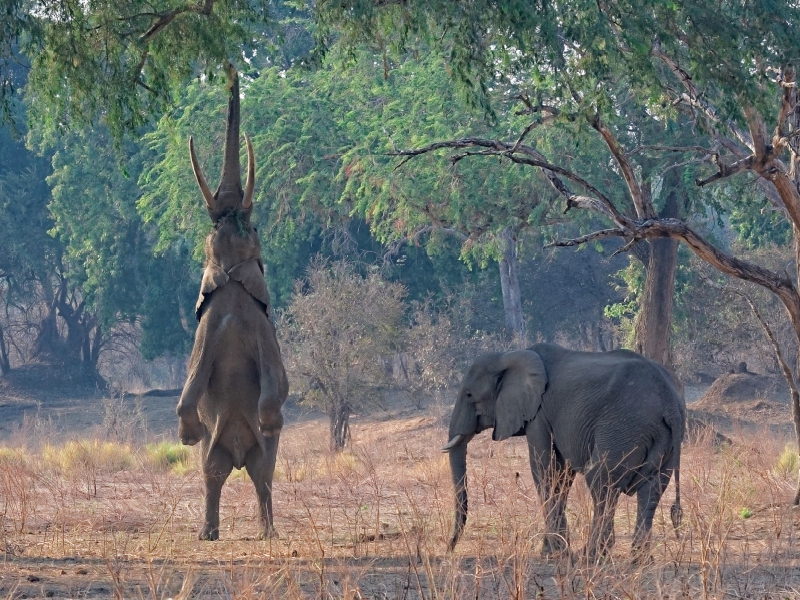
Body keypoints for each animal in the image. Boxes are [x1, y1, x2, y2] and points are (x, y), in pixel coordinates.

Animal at [440, 344, 684, 560]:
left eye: (469, 395)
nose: (449, 548)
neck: (508, 355)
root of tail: (670, 403)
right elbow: (562, 476)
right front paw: (555, 549)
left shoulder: (539, 413)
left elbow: (545, 470)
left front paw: (553, 553)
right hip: (662, 438)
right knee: (652, 489)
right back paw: (639, 560)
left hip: (622, 428)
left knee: (601, 480)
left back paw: (591, 555)